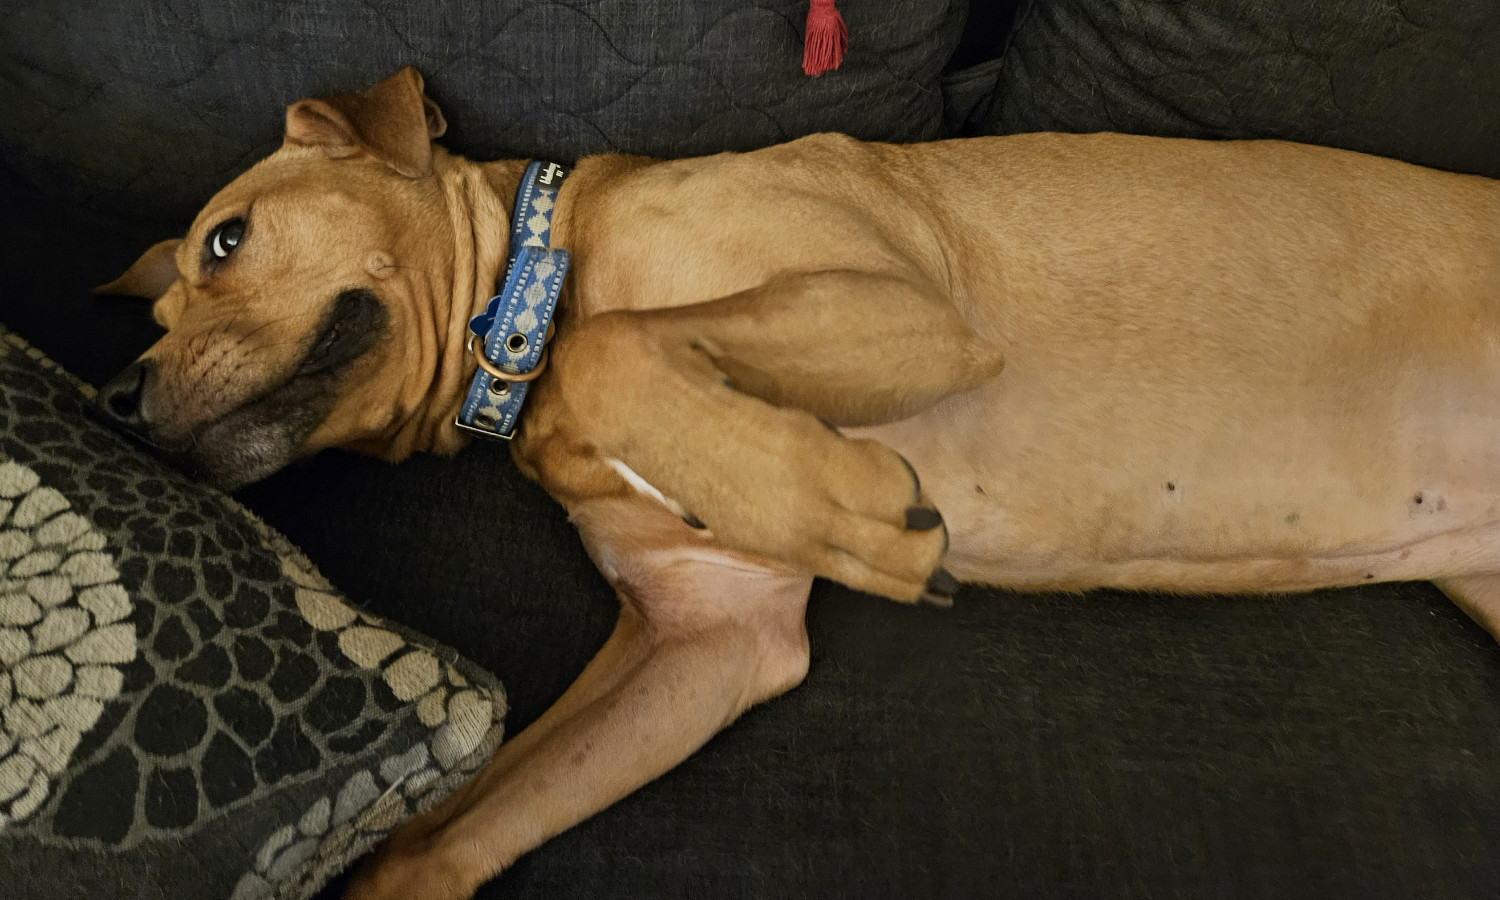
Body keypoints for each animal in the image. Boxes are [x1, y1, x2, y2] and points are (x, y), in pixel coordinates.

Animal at [99, 66, 1494, 894]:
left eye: (226, 241)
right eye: (156, 308)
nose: (119, 398)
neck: (530, 315)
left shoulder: (899, 307)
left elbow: (613, 348)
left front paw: (849, 507)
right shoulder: (712, 632)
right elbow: (442, 833)